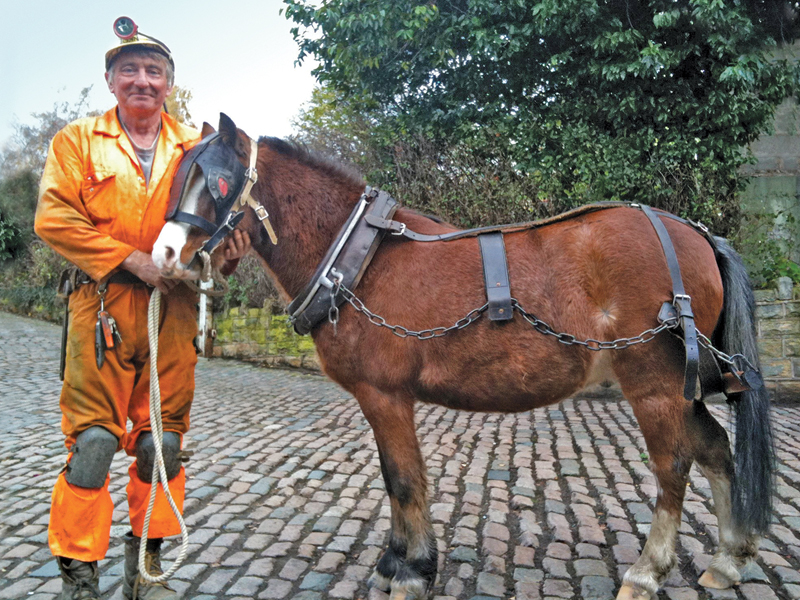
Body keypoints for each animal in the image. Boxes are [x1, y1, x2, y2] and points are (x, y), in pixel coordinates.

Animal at [152, 114, 773, 600]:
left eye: (218, 182)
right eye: (177, 180)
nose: (163, 255)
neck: (360, 258)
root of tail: (694, 233)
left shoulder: (385, 394)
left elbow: (403, 479)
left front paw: (412, 570)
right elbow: (394, 478)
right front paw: (396, 561)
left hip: (654, 383)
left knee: (674, 467)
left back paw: (647, 573)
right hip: (681, 387)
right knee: (716, 451)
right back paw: (728, 559)